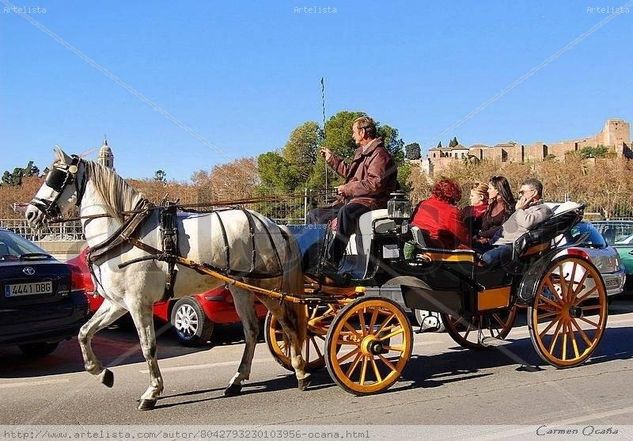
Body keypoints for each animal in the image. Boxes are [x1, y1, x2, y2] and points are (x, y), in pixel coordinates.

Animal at [27, 148, 308, 410]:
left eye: (57, 177)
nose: (30, 214)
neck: (126, 235)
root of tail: (272, 225)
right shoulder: (117, 303)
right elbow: (84, 333)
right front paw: (103, 373)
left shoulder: (139, 304)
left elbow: (147, 346)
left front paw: (152, 392)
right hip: (241, 288)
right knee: (251, 331)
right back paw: (238, 380)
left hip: (266, 287)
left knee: (288, 324)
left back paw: (300, 370)